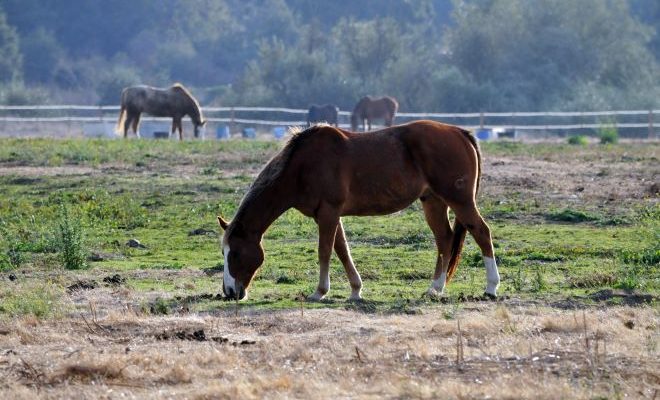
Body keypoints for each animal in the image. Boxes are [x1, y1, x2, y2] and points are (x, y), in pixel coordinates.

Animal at [217, 120, 500, 302]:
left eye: (236, 253)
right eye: (224, 252)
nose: (229, 292)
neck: (302, 165)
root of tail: (461, 133)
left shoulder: (328, 213)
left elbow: (325, 252)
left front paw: (320, 292)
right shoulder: (328, 215)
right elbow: (342, 251)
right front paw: (355, 290)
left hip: (460, 201)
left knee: (482, 233)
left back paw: (491, 287)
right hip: (433, 201)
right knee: (444, 239)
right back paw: (435, 288)